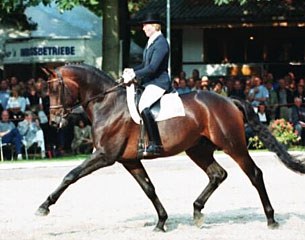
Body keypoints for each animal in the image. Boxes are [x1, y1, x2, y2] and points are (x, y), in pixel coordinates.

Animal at [36, 63, 304, 231]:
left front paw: (44, 206)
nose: (53, 121)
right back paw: (197, 212)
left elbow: (71, 175)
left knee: (254, 174)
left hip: (233, 145)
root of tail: (229, 99)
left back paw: (271, 219)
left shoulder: (105, 156)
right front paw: (161, 222)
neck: (107, 103)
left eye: (55, 88)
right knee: (217, 174)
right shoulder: (129, 160)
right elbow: (149, 188)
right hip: (198, 150)